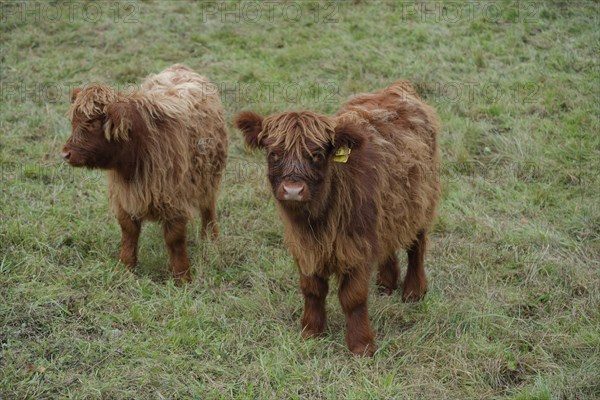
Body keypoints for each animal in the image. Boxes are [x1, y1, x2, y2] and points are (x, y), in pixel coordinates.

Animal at [62, 64, 227, 282]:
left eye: (93, 123)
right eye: (74, 122)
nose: (65, 153)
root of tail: (180, 67)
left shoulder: (174, 200)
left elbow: (175, 239)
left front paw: (183, 277)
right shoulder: (124, 198)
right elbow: (129, 232)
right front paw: (125, 268)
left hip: (209, 177)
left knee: (208, 208)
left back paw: (211, 240)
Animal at [236, 81, 440, 356]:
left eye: (317, 154)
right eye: (273, 153)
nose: (293, 190)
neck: (318, 220)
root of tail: (397, 87)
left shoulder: (357, 246)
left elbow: (353, 297)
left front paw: (361, 345)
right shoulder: (305, 248)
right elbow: (312, 289)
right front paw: (311, 331)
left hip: (421, 201)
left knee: (416, 245)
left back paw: (413, 291)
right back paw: (386, 283)